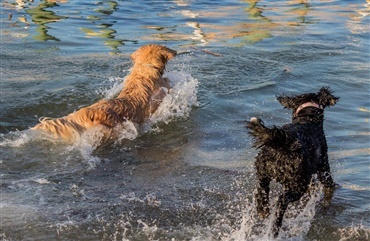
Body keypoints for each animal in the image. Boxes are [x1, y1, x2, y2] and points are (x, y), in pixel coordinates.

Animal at [247, 86, 340, 237]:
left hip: (263, 171)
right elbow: (329, 186)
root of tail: (283, 143)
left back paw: (263, 210)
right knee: (281, 200)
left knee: (262, 190)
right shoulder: (323, 169)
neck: (307, 119)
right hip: (298, 184)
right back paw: (275, 226)